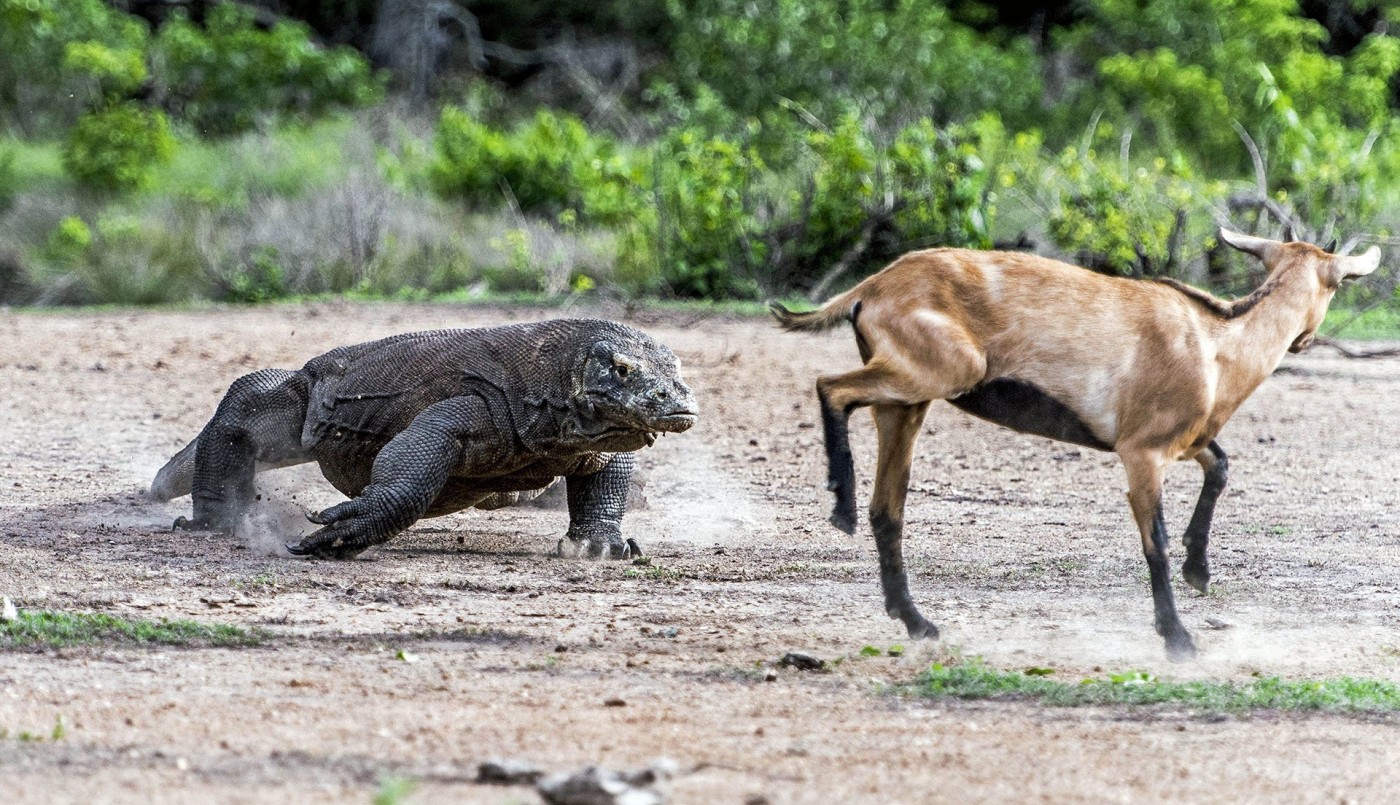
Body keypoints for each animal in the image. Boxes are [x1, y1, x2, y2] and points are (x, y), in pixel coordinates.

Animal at [772, 229, 1380, 660]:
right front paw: (1178, 639)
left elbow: (1222, 466)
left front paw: (1200, 570)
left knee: (889, 507)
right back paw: (841, 507)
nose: (1302, 342)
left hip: (907, 404)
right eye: (1337, 284)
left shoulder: (1185, 441)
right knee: (831, 387)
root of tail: (870, 288)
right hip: (940, 372)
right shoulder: (1141, 452)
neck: (1216, 345)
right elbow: (1154, 542)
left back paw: (917, 620)